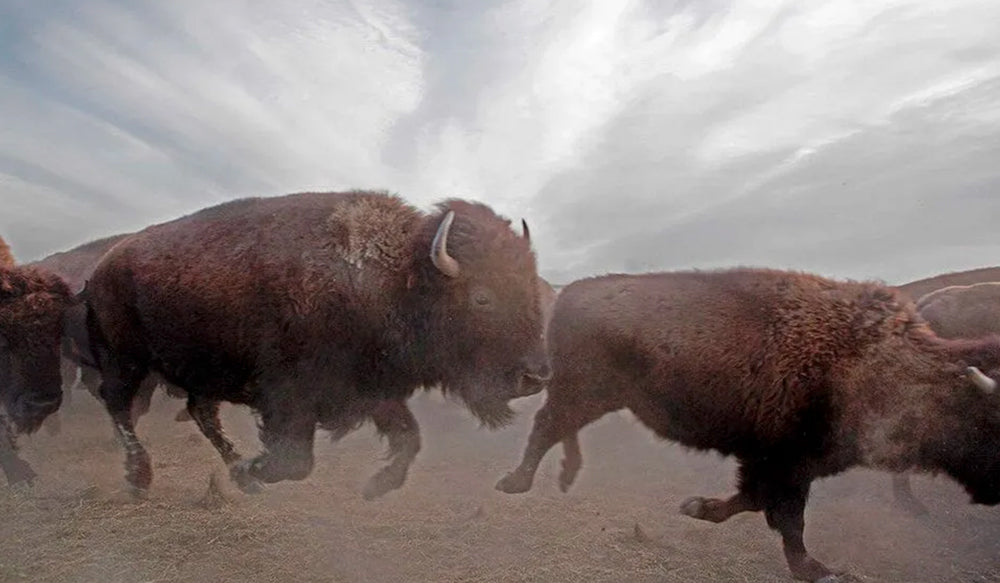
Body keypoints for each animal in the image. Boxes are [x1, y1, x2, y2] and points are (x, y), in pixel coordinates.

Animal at [85, 190, 551, 497]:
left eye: (531, 288)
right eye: (482, 297)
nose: (535, 376)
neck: (395, 277)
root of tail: (104, 265)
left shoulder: (373, 390)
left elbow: (409, 438)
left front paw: (376, 486)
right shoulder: (290, 397)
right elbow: (296, 462)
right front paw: (257, 467)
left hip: (198, 372)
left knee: (200, 414)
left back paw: (239, 475)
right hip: (125, 360)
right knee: (119, 406)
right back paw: (141, 479)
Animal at [496, 268, 1000, 582]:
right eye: (987, 421)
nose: (995, 493)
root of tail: (570, 293)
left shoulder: (780, 465)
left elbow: (756, 502)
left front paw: (698, 507)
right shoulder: (787, 463)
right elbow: (786, 518)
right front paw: (816, 570)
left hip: (591, 397)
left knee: (557, 428)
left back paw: (557, 476)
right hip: (582, 391)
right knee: (546, 425)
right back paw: (515, 482)